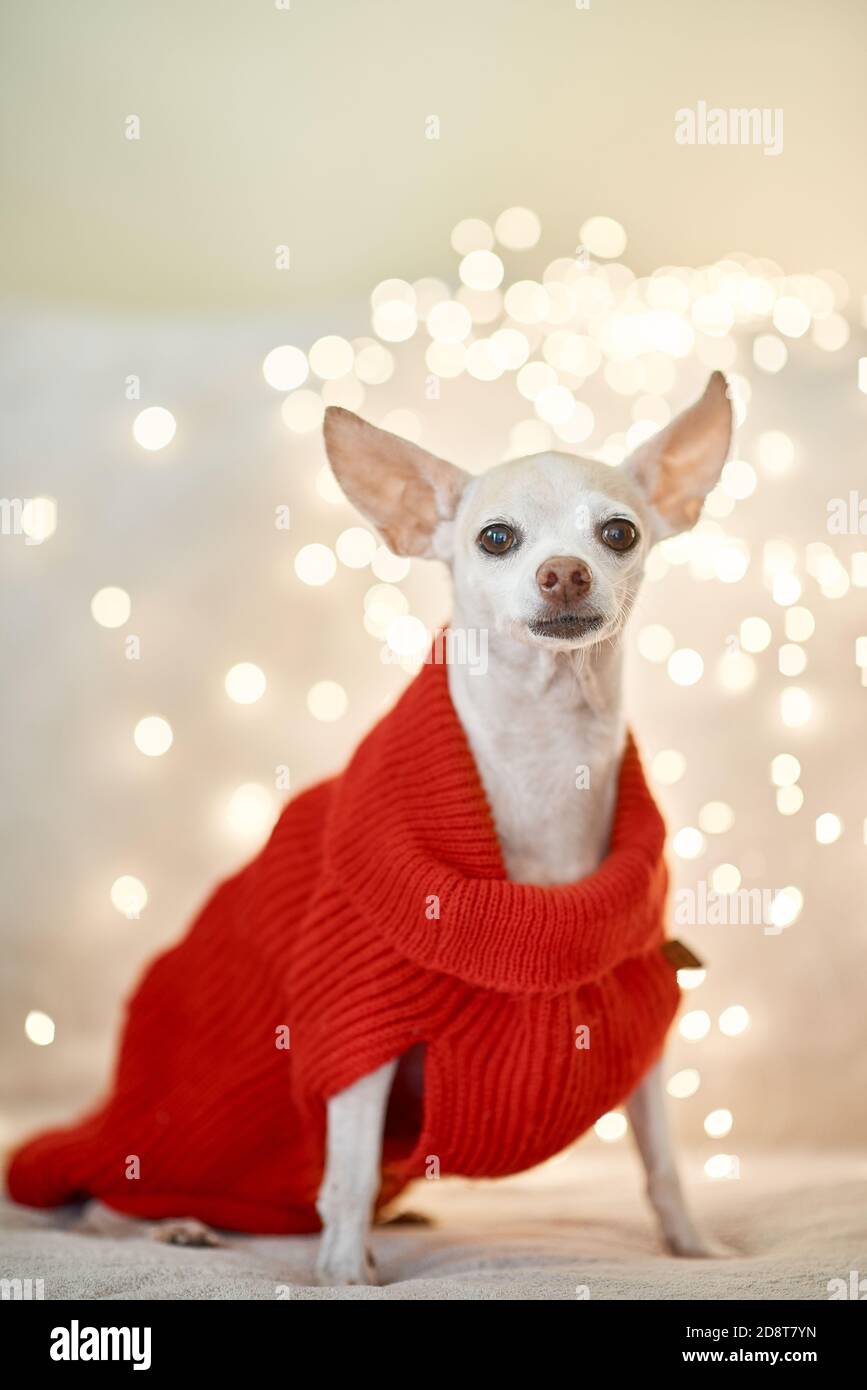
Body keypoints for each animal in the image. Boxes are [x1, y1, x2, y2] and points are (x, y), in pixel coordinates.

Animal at [311, 369, 733, 1278]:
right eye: (496, 538)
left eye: (618, 532)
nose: (565, 573)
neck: (547, 754)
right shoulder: (361, 1033)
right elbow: (351, 1170)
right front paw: (342, 1268)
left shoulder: (640, 1037)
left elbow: (662, 1162)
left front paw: (691, 1245)